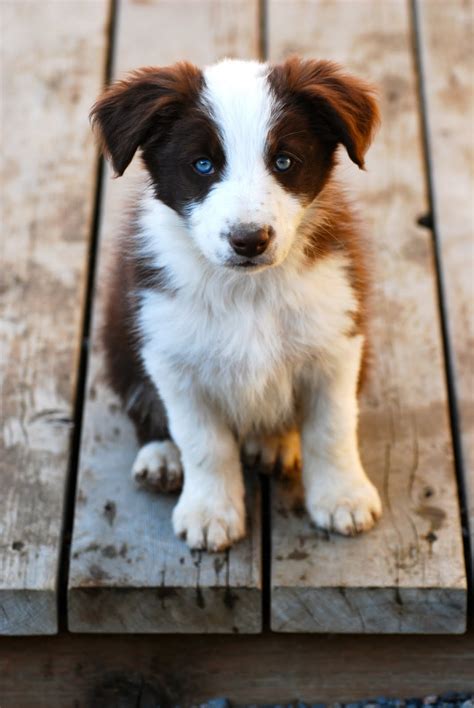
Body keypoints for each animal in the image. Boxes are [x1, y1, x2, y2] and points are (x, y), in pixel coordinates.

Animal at [91, 56, 382, 552]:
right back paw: (161, 457)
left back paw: (276, 443)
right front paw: (210, 512)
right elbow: (204, 443)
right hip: (119, 337)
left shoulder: (336, 341)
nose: (249, 240)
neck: (249, 290)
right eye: (202, 165)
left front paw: (343, 497)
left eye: (284, 161)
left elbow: (333, 428)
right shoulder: (172, 358)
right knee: (142, 404)